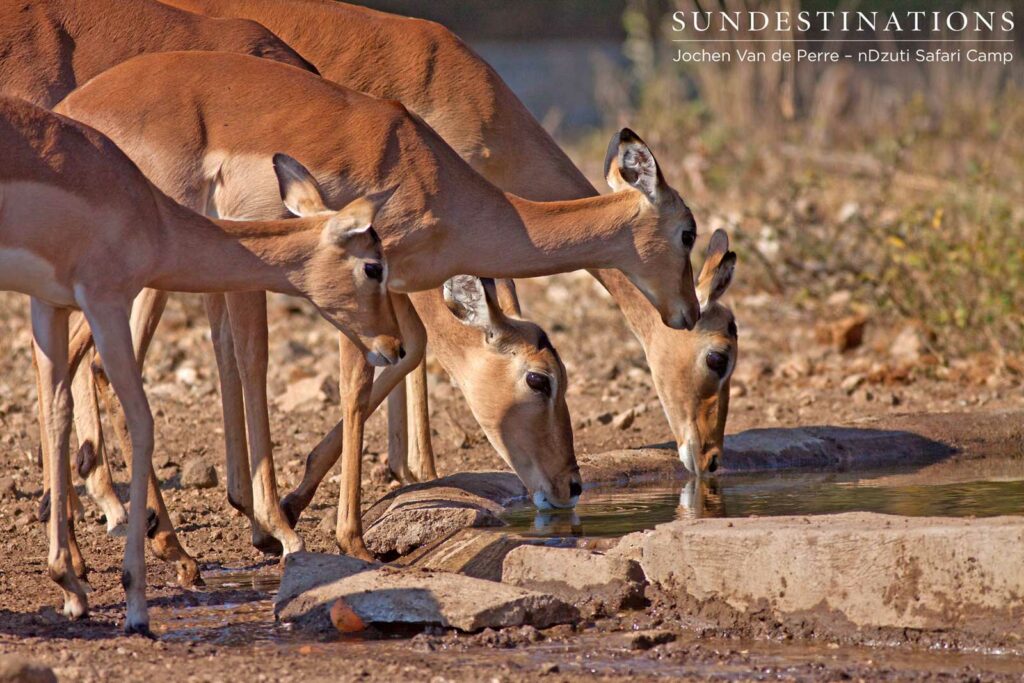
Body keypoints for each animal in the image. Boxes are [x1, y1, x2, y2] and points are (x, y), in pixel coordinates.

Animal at [0, 96, 401, 634]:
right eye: (373, 267)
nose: (393, 345)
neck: (148, 213)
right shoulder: (105, 301)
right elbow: (143, 419)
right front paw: (135, 604)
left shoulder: (50, 304)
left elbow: (54, 415)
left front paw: (69, 585)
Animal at [56, 49, 701, 560]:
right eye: (539, 379)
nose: (571, 486)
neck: (431, 177)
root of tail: (76, 111)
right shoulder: (359, 289)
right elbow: (354, 385)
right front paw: (348, 538)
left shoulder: (392, 294)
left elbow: (405, 356)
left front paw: (301, 507)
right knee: (101, 363)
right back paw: (162, 539)